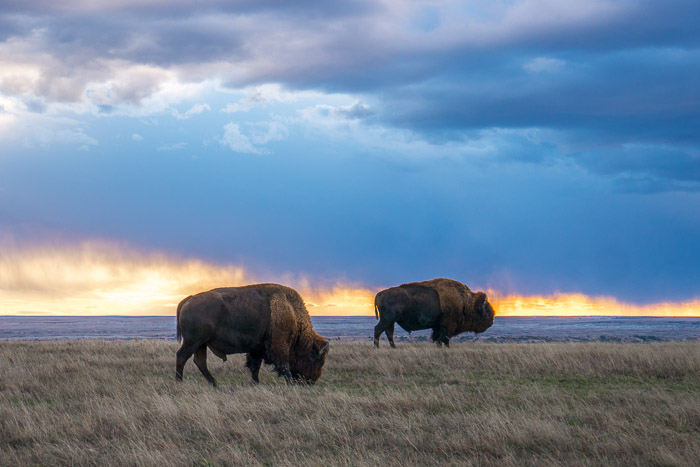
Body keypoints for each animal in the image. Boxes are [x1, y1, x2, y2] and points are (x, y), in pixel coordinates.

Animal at [176, 284, 329, 386]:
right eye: (320, 361)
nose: (312, 381)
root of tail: (188, 299)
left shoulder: (257, 349)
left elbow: (255, 366)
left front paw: (255, 383)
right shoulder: (280, 347)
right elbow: (285, 366)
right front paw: (290, 383)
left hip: (201, 344)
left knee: (200, 361)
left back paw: (215, 384)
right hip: (193, 342)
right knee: (182, 356)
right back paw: (180, 382)